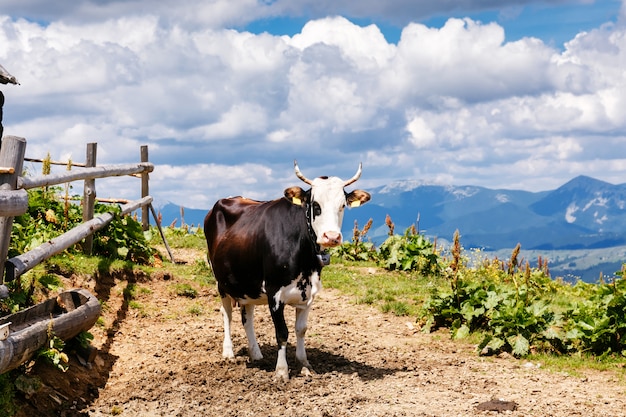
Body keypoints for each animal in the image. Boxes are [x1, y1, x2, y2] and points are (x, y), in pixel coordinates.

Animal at [205, 161, 370, 382]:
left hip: (247, 283)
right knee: (227, 313)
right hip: (221, 281)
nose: (332, 237)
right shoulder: (275, 293)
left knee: (247, 317)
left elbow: (301, 330)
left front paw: (304, 365)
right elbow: (282, 333)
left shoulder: (308, 294)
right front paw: (282, 371)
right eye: (315, 205)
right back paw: (228, 352)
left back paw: (256, 353)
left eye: (342, 205)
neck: (305, 260)